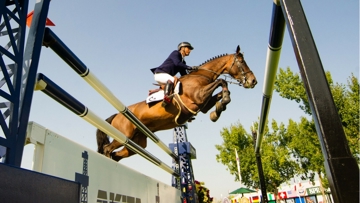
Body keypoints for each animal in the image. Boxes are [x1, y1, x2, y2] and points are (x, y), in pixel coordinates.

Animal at [97, 45, 258, 161]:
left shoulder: (203, 105)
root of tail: (116, 115)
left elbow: (221, 91)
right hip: (124, 135)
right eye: (242, 62)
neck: (202, 76)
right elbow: (221, 81)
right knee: (107, 149)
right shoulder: (199, 97)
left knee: (117, 154)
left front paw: (218, 110)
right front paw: (221, 104)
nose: (253, 81)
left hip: (136, 142)